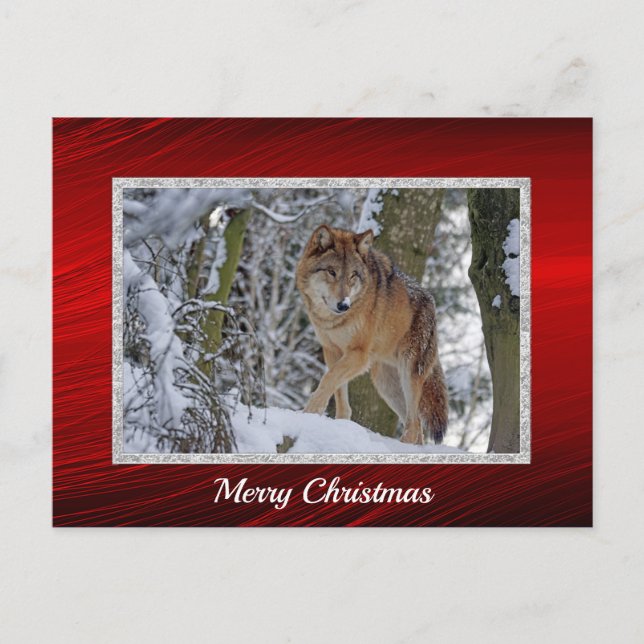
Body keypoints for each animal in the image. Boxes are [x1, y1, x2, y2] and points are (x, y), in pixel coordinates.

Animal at [296, 224, 448, 445]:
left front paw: (309, 413)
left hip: (409, 373)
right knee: (417, 426)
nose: (343, 305)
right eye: (331, 272)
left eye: (353, 275)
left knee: (413, 424)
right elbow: (338, 391)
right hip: (386, 384)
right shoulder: (332, 351)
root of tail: (432, 303)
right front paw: (340, 424)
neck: (334, 321)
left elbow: (327, 380)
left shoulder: (359, 355)